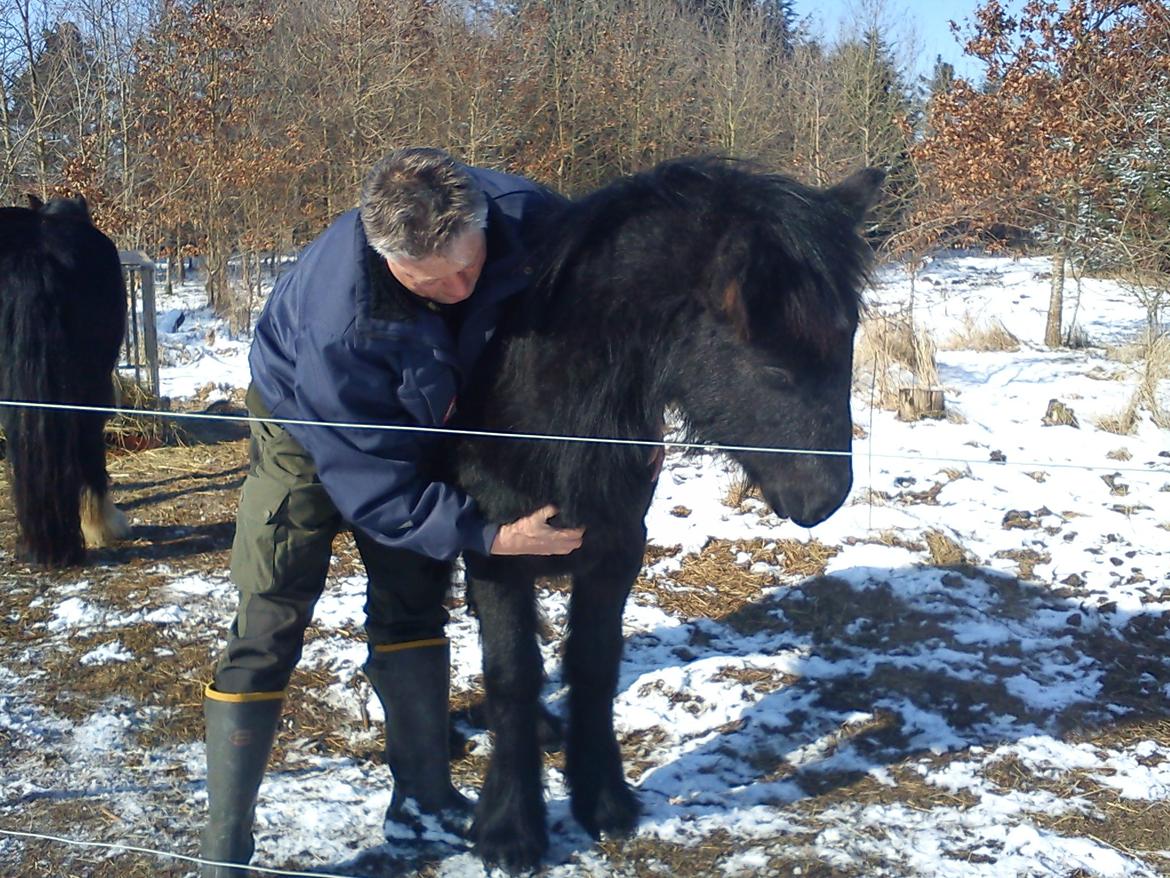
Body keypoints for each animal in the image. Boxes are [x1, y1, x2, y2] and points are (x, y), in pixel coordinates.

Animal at [443, 157, 884, 872]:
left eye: (846, 340)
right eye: (772, 365)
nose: (825, 498)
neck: (548, 405)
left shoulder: (617, 545)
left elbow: (593, 663)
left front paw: (602, 799)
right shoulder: (495, 549)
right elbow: (511, 672)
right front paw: (510, 826)